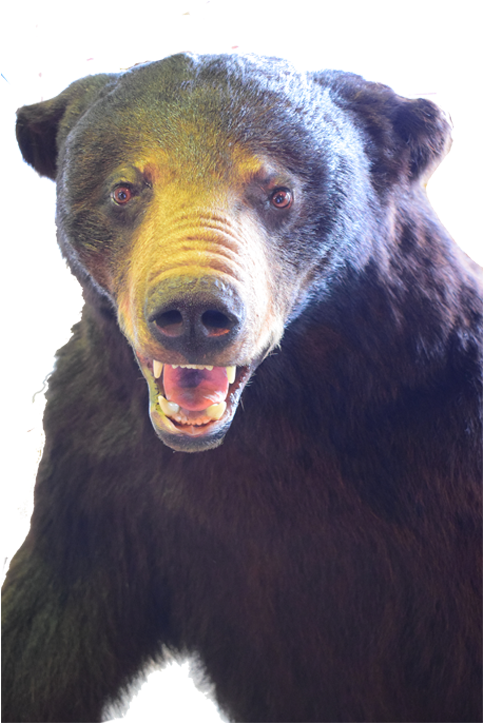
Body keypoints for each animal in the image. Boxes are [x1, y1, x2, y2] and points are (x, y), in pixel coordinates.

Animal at [3, 52, 483, 723]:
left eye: (279, 193)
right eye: (125, 189)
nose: (193, 312)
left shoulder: (442, 445)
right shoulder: (97, 469)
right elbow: (42, 635)